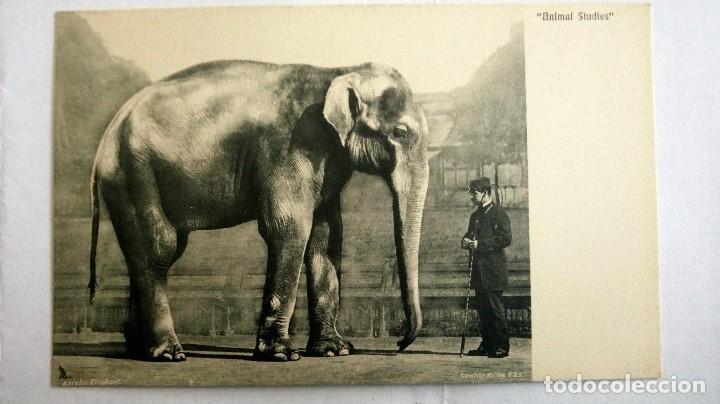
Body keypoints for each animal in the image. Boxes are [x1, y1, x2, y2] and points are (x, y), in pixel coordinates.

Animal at [89, 60, 429, 362]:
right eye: (400, 132)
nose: (399, 342)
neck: (338, 70)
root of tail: (106, 137)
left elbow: (326, 235)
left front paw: (335, 350)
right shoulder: (290, 148)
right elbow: (290, 227)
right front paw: (281, 354)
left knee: (152, 253)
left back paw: (138, 348)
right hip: (134, 173)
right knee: (160, 248)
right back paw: (169, 353)